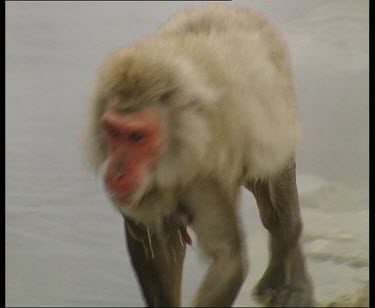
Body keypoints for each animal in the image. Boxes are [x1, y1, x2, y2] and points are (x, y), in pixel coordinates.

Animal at [83, 3, 314, 306]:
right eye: (114, 131)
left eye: (137, 137)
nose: (117, 172)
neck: (172, 152)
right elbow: (149, 241)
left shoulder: (206, 176)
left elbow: (228, 258)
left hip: (277, 116)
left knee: (277, 205)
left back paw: (292, 276)